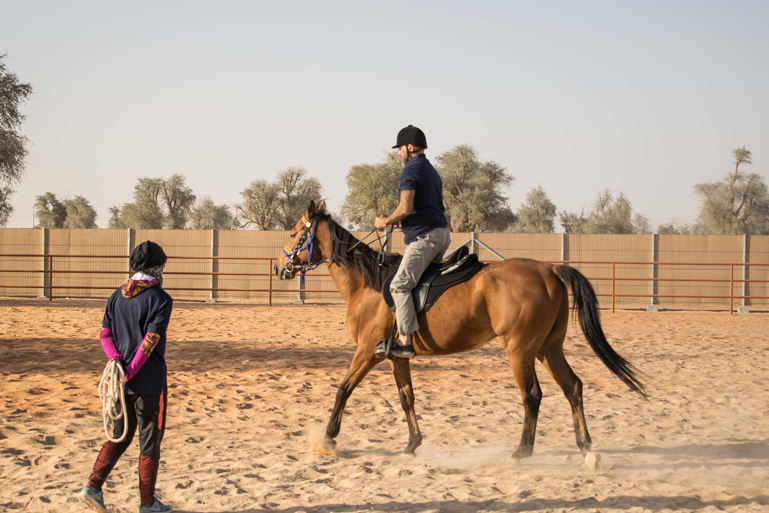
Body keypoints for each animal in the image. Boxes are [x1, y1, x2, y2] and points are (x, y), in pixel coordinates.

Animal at [272, 201, 644, 468]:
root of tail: (549, 269)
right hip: (548, 349)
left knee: (533, 396)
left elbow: (343, 390)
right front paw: (412, 444)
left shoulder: (365, 352)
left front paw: (328, 438)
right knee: (573, 387)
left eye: (293, 233)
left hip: (520, 350)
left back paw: (522, 452)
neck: (369, 284)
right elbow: (407, 398)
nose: (278, 267)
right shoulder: (395, 357)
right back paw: (587, 450)